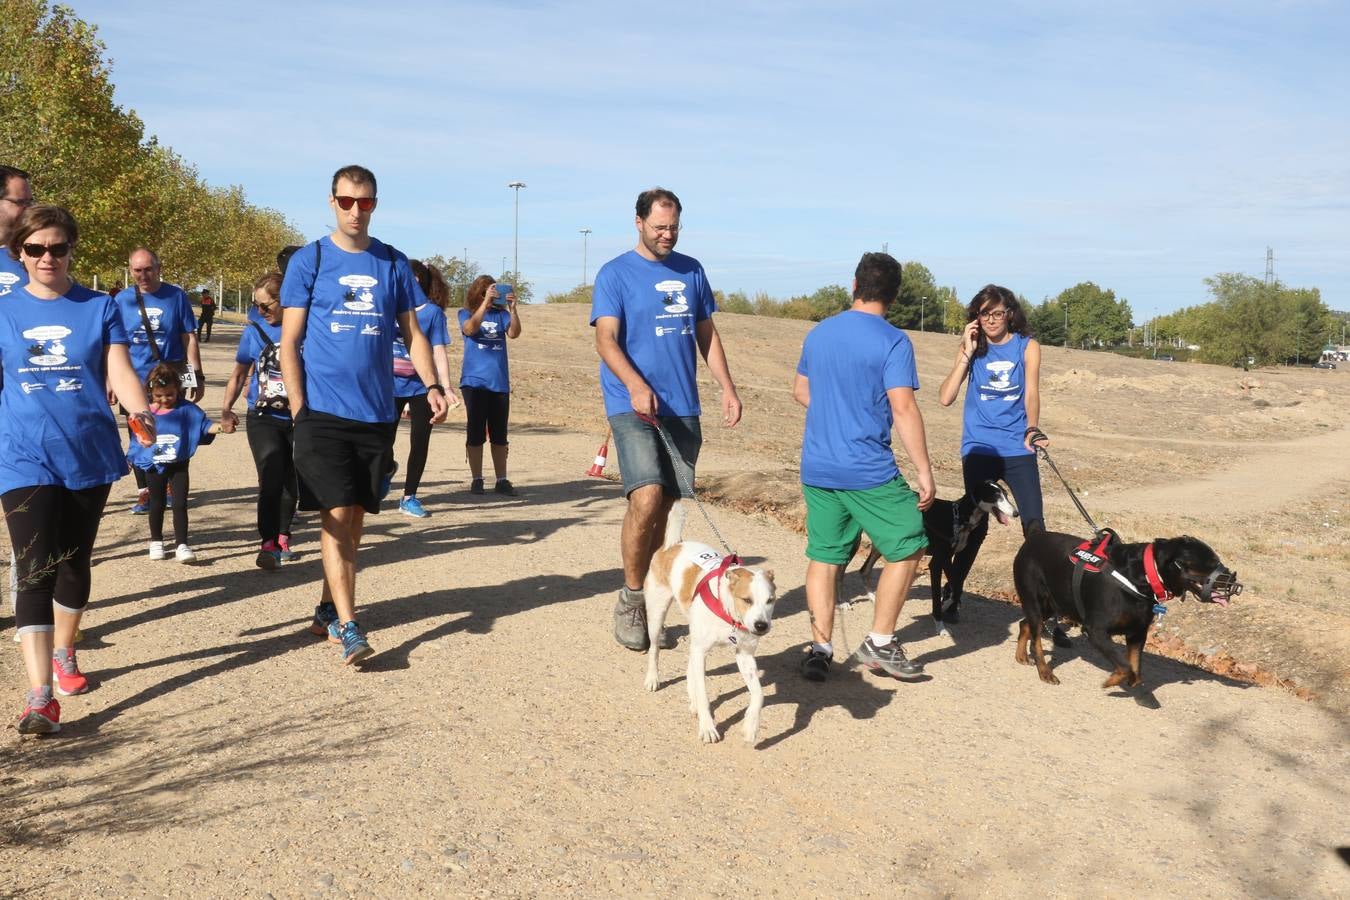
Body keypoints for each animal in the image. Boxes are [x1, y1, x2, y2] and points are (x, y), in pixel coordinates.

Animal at [645, 507, 783, 744]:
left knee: (689, 666)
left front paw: (751, 726)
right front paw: (708, 727)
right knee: (654, 649)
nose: (761, 626)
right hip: (657, 614)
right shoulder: (702, 651)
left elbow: (759, 695)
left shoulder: (744, 655)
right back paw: (653, 678)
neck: (729, 614)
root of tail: (674, 544)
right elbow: (703, 694)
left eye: (771, 600)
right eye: (747, 600)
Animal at [837, 483, 1015, 636]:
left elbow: (957, 589)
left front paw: (946, 605)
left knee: (864, 570)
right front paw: (940, 626)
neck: (958, 518)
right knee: (839, 573)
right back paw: (842, 603)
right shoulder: (936, 563)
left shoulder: (947, 559)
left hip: (882, 544)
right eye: (996, 495)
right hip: (853, 543)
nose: (1016, 513)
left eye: (1006, 494)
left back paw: (873, 597)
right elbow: (937, 599)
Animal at [1015, 528, 1242, 690]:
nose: (1234, 581)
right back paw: (1045, 672)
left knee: (1024, 623)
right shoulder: (1096, 631)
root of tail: (1033, 537)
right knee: (1035, 639)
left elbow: (1135, 668)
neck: (1143, 576)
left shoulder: (1138, 632)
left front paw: (1131, 681)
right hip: (1036, 601)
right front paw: (1111, 681)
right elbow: (1124, 666)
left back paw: (1021, 656)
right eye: (1210, 563)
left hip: (1053, 604)